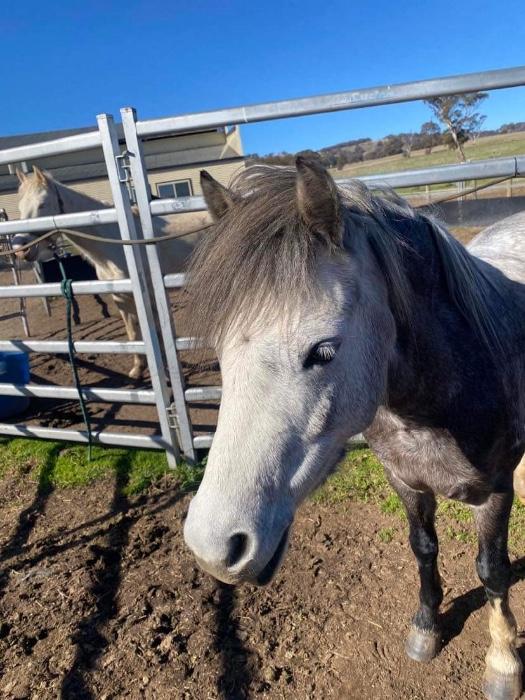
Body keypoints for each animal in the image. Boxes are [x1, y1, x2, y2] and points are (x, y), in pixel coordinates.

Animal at [13, 167, 209, 379]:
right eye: (20, 207)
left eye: (42, 204)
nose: (21, 249)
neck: (116, 242)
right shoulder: (121, 296)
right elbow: (134, 333)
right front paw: (138, 369)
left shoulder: (150, 296)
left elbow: (158, 334)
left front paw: (167, 373)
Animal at [183, 159, 525, 700]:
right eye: (219, 350)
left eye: (323, 351)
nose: (212, 546)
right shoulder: (405, 482)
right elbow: (424, 549)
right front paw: (425, 630)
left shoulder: (494, 492)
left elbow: (492, 571)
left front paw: (503, 663)